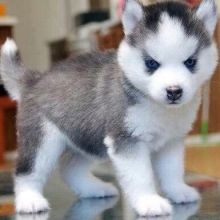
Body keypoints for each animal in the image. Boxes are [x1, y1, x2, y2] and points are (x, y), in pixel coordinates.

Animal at [0, 0, 217, 217]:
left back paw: (95, 189)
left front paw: (178, 191)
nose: (174, 91)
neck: (159, 107)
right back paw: (30, 199)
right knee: (27, 172)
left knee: (70, 169)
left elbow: (173, 171)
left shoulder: (171, 142)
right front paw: (148, 201)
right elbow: (140, 176)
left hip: (86, 139)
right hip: (43, 140)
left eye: (190, 62)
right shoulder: (127, 140)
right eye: (151, 63)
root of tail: (35, 80)